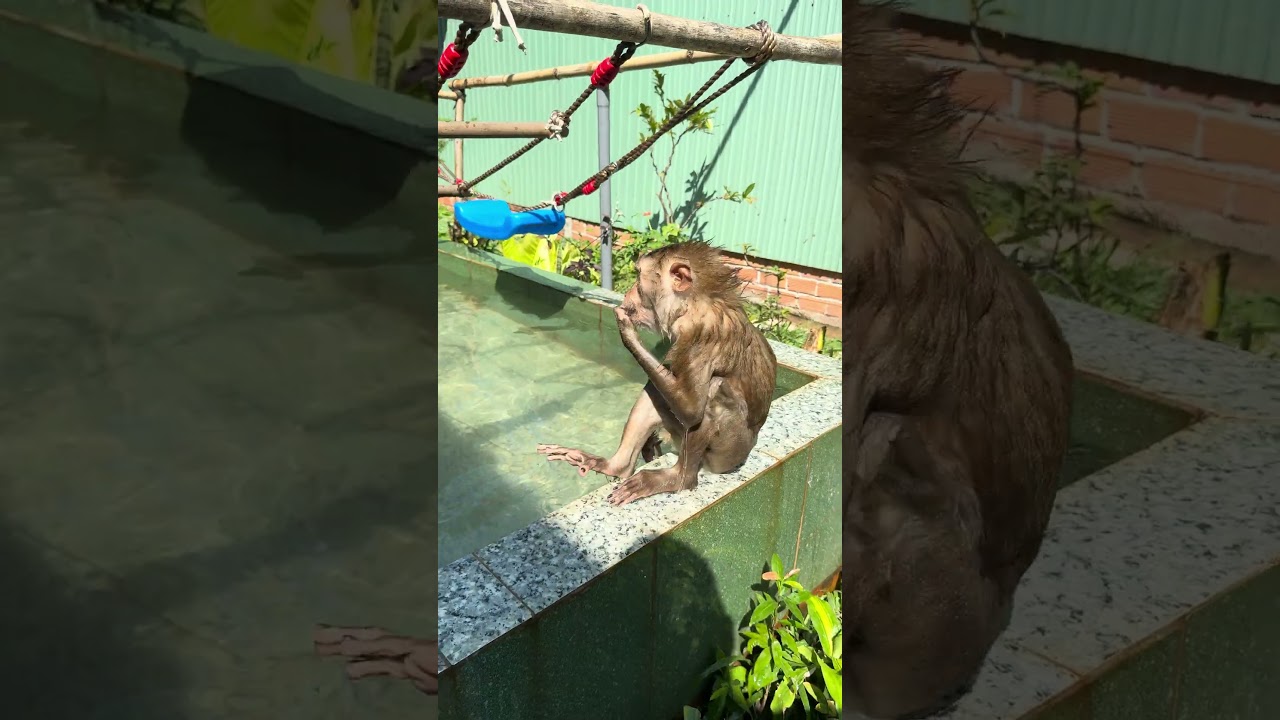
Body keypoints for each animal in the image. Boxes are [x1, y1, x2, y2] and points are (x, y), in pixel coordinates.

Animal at [538, 240, 778, 506]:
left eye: (638, 278)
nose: (628, 292)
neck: (693, 304)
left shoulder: (700, 333)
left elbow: (692, 411)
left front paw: (627, 331)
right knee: (656, 388)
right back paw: (617, 467)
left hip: (726, 455)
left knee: (715, 393)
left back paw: (679, 480)